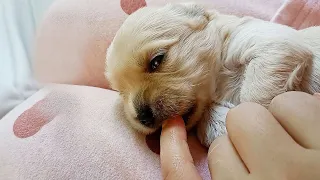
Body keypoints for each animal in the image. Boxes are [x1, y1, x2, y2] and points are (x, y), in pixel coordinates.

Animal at [106, 2, 320, 147]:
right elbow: (210, 122)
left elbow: (255, 99)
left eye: (157, 60)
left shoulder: (272, 43)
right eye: (121, 92)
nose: (143, 117)